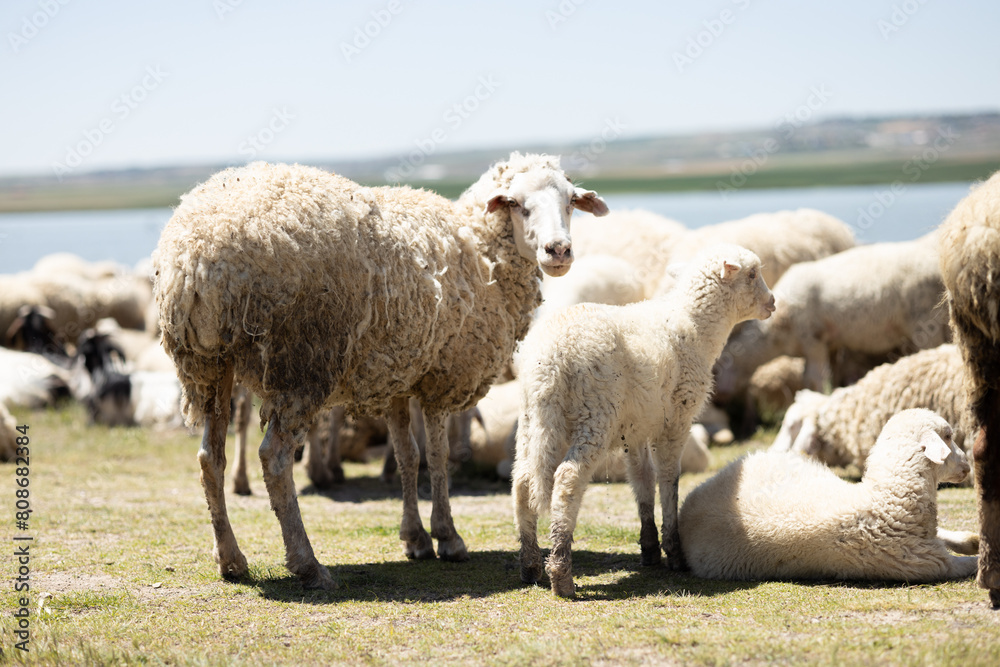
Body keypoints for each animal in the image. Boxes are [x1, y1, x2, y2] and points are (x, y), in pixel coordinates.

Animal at [153, 154, 608, 590]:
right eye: (516, 203)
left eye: (571, 201)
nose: (558, 251)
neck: (481, 248)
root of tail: (195, 254)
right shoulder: (441, 376)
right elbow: (437, 457)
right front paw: (448, 537)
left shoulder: (397, 378)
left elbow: (408, 456)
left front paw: (415, 538)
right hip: (301, 361)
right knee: (275, 458)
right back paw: (308, 565)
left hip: (208, 366)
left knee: (210, 458)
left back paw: (231, 560)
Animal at [512, 244, 775, 597]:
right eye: (752, 274)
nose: (772, 302)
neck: (695, 325)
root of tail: (550, 359)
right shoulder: (677, 419)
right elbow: (669, 479)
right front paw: (674, 551)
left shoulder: (634, 429)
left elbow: (642, 480)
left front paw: (649, 547)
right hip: (595, 413)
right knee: (567, 479)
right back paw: (561, 573)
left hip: (534, 418)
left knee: (523, 482)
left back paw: (530, 565)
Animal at [679, 409, 978, 581]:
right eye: (948, 435)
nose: (967, 466)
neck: (881, 498)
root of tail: (692, 501)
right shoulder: (935, 564)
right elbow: (971, 565)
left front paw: (971, 541)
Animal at [715, 232, 949, 400]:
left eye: (717, 369)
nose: (720, 399)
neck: (775, 336)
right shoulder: (831, 344)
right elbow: (832, 375)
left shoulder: (813, 341)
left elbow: (813, 380)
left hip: (924, 321)